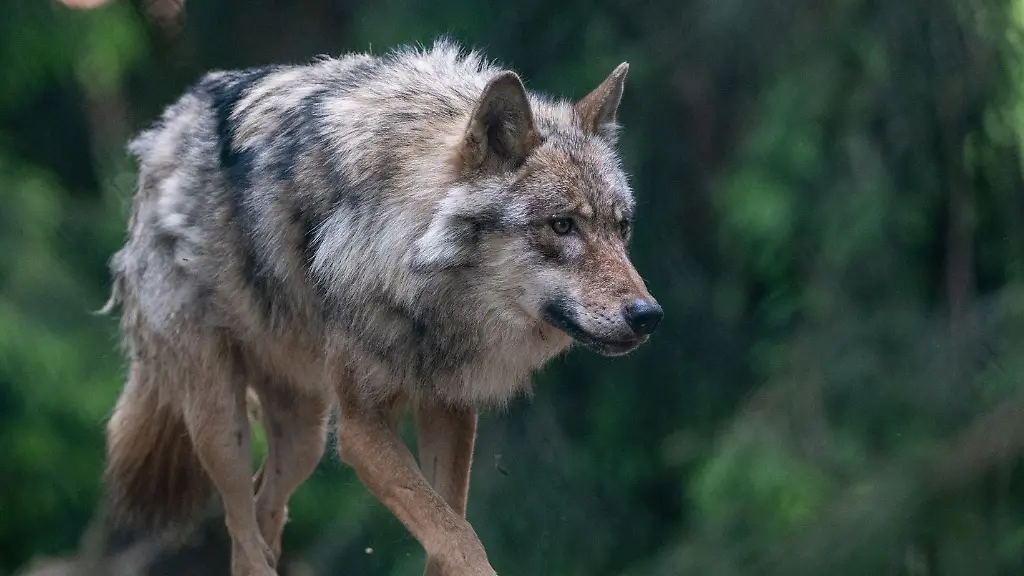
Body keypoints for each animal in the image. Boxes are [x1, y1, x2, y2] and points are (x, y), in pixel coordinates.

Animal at [101, 40, 662, 576]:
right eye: (563, 225)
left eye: (622, 228)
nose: (648, 315)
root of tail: (163, 132)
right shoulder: (361, 429)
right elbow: (457, 538)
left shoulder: (449, 409)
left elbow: (447, 530)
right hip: (223, 424)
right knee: (242, 535)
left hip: (304, 436)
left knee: (264, 518)